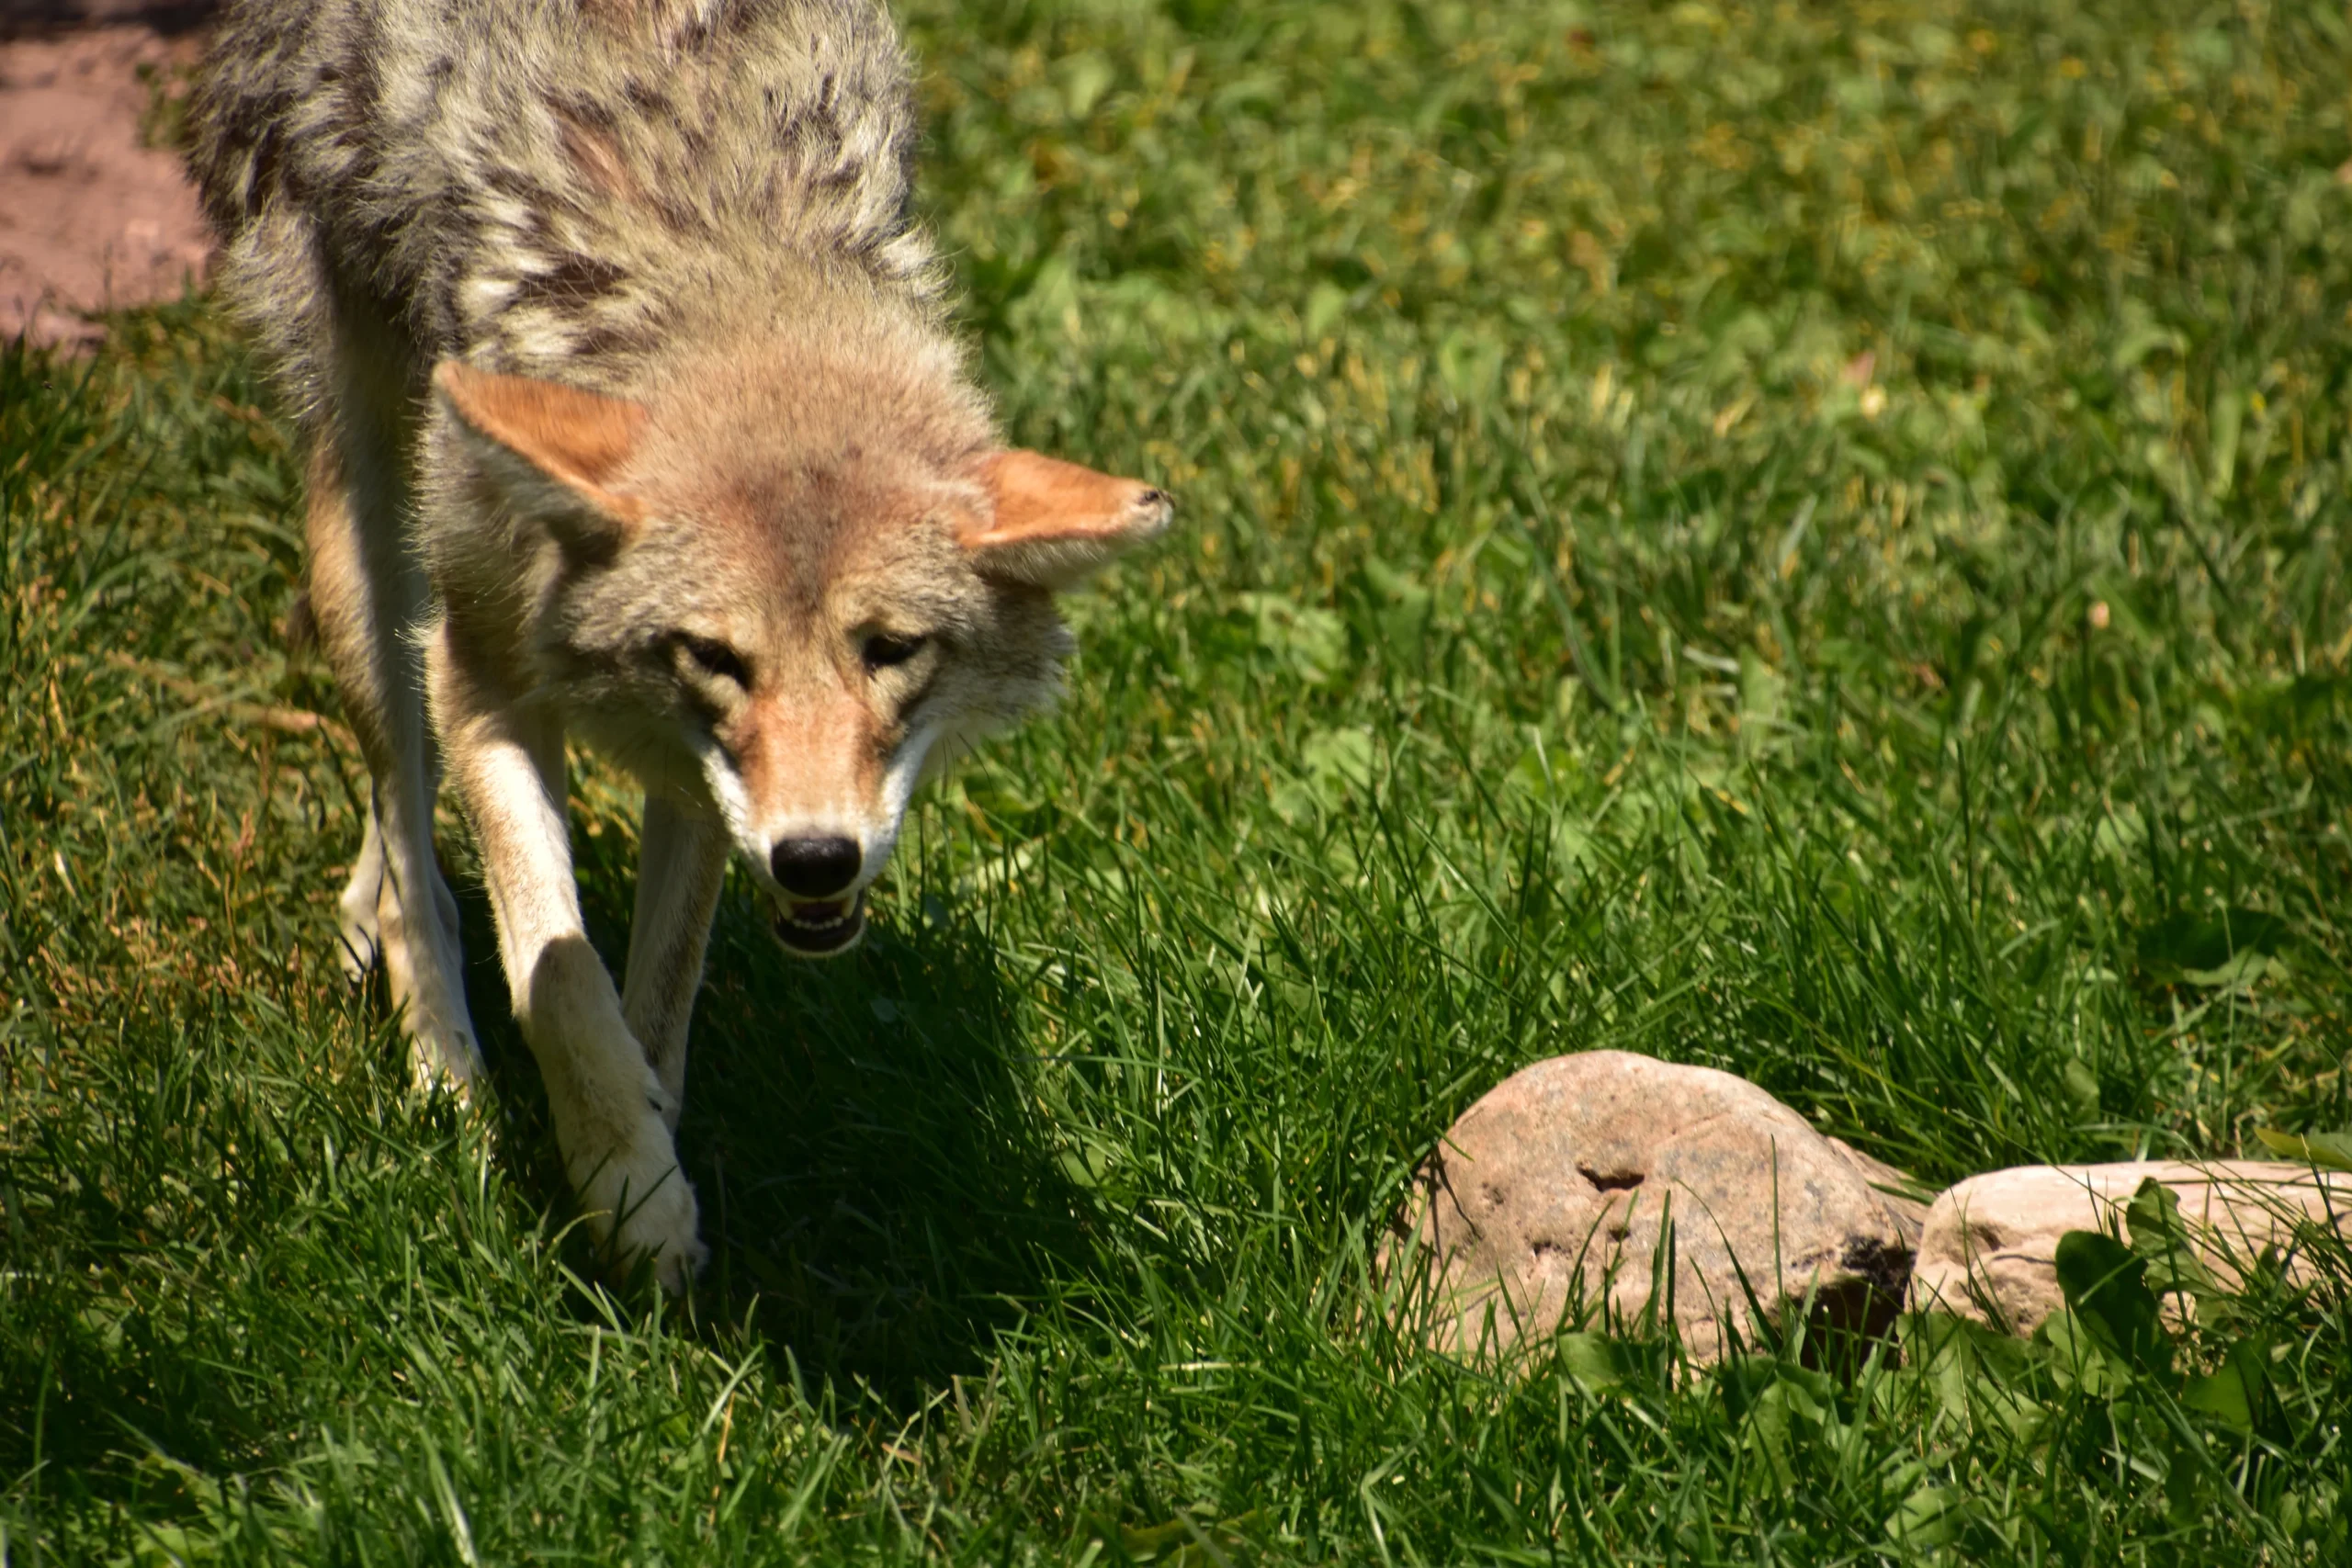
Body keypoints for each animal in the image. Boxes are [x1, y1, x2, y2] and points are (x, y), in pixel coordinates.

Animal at [186, 0, 1170, 1288]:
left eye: (891, 650)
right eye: (717, 658)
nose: (817, 860)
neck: (729, 251)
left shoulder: (703, 784)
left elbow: (660, 989)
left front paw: (648, 1159)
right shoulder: (482, 673)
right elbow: (557, 969)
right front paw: (628, 1188)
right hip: (373, 554)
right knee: (411, 840)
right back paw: (446, 1075)